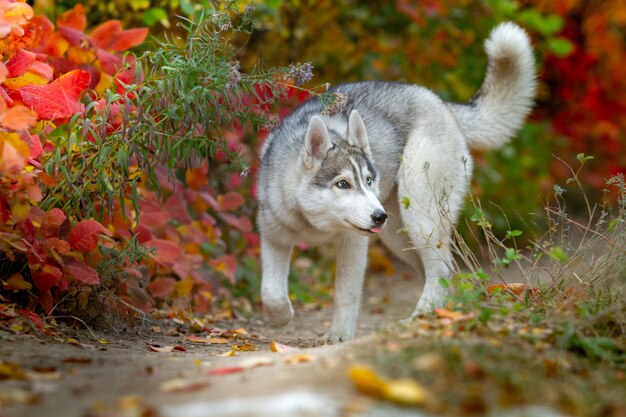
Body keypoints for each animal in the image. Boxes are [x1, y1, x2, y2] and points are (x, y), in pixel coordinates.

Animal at [256, 22, 532, 342]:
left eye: (368, 180)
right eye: (342, 184)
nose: (378, 216)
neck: (314, 225)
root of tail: (438, 101)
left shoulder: (354, 242)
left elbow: (345, 294)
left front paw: (338, 335)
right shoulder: (273, 236)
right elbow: (271, 292)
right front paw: (282, 317)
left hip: (418, 217)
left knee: (443, 268)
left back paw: (421, 318)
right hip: (399, 237)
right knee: (438, 272)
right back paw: (441, 313)